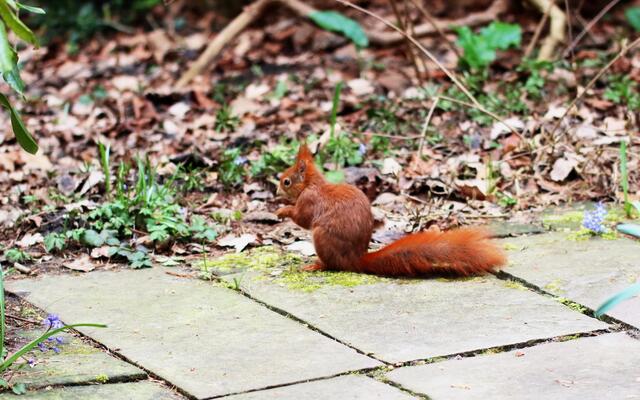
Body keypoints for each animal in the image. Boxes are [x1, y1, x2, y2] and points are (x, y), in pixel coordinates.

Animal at [275, 143, 506, 277]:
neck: (312, 185)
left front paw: (282, 211)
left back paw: (316, 266)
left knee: (332, 265)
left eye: (286, 181)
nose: (276, 191)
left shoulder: (309, 200)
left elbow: (302, 218)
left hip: (322, 237)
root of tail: (355, 260)